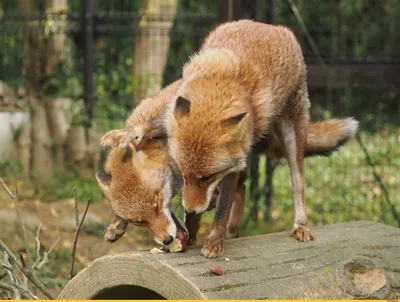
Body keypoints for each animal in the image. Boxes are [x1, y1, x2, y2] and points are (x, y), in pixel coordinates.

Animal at [155, 20, 360, 258]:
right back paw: (233, 230)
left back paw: (300, 225)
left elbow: (222, 209)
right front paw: (191, 235)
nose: (188, 208)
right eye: (182, 173)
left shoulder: (230, 169)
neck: (219, 76)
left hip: (291, 136)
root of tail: (267, 25)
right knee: (243, 189)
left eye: (208, 176)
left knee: (297, 183)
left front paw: (214, 242)